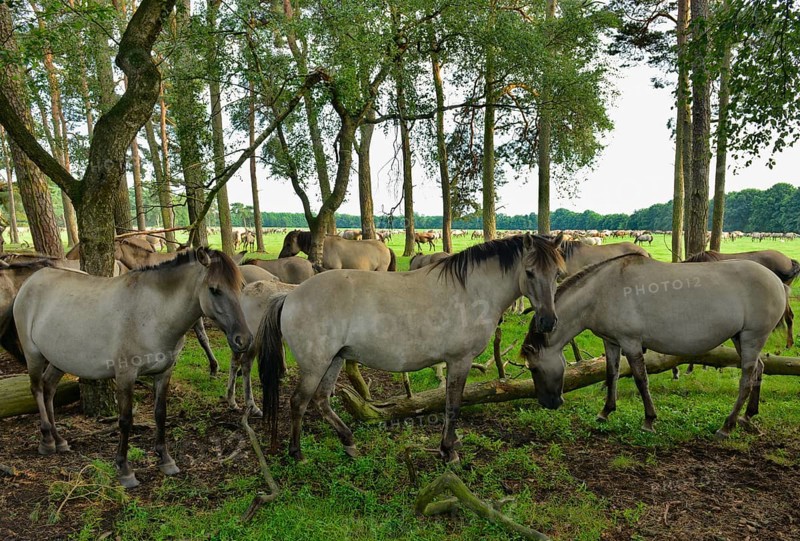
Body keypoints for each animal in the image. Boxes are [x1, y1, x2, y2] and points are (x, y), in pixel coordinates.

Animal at [10, 248, 250, 488]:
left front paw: (165, 459)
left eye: (241, 287)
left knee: (49, 388)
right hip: (33, 354)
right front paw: (125, 469)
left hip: (59, 359)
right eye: (214, 290)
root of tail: (31, 281)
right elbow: (125, 420)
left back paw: (59, 440)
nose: (243, 339)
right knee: (37, 389)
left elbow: (160, 414)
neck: (153, 314)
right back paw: (46, 440)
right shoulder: (125, 375)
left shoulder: (164, 373)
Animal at [257, 233, 565, 462]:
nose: (548, 322)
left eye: (558, 274)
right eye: (529, 272)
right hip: (316, 365)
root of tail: (290, 295)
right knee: (299, 402)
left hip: (334, 360)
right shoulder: (460, 360)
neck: (470, 292)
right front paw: (448, 450)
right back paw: (297, 453)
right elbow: (453, 404)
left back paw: (348, 441)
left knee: (321, 401)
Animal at [522, 253, 787, 438]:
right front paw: (606, 411)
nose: (548, 404)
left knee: (746, 378)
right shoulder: (611, 342)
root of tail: (776, 281)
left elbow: (641, 380)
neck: (602, 291)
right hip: (740, 338)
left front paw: (649, 420)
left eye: (533, 368)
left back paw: (727, 425)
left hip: (752, 337)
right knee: (759, 369)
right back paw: (748, 416)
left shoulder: (631, 342)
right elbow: (611, 374)